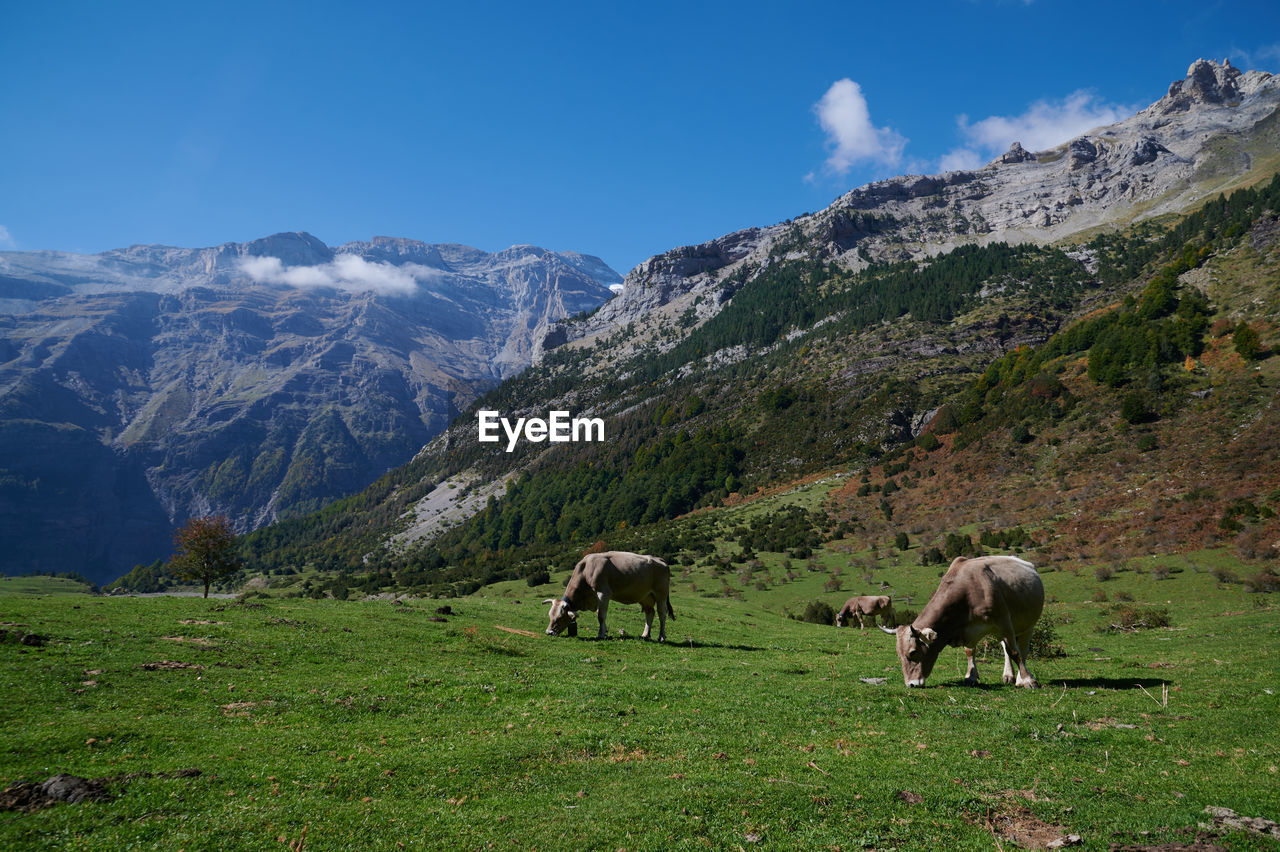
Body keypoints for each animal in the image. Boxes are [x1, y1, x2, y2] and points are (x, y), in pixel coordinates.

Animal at [542, 550, 675, 637]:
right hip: (646, 597)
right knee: (650, 613)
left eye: (560, 617)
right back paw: (645, 635)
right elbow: (599, 614)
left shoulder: (603, 593)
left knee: (662, 614)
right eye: (550, 616)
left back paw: (661, 636)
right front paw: (604, 631)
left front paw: (601, 635)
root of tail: (660, 560)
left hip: (661, 594)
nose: (549, 632)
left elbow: (601, 616)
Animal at [875, 555, 1044, 685]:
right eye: (899, 655)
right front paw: (971, 676)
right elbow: (970, 651)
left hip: (1027, 625)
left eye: (913, 652)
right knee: (1005, 647)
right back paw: (1008, 675)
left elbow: (1015, 652)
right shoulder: (970, 629)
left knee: (1022, 649)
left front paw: (1028, 680)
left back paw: (1020, 678)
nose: (911, 684)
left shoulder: (1003, 621)